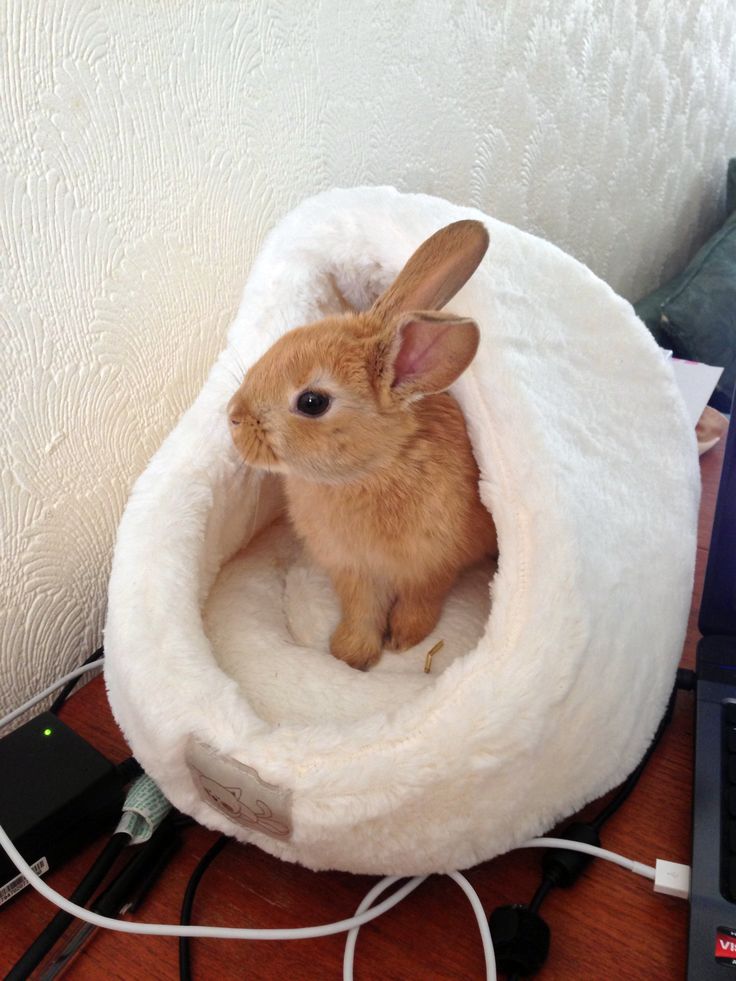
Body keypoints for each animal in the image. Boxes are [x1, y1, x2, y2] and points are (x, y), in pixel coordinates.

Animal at [227, 218, 498, 668]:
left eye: (312, 402)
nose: (233, 418)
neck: (372, 470)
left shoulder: (433, 565)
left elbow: (421, 600)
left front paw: (404, 639)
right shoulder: (353, 572)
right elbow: (361, 610)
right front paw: (351, 655)